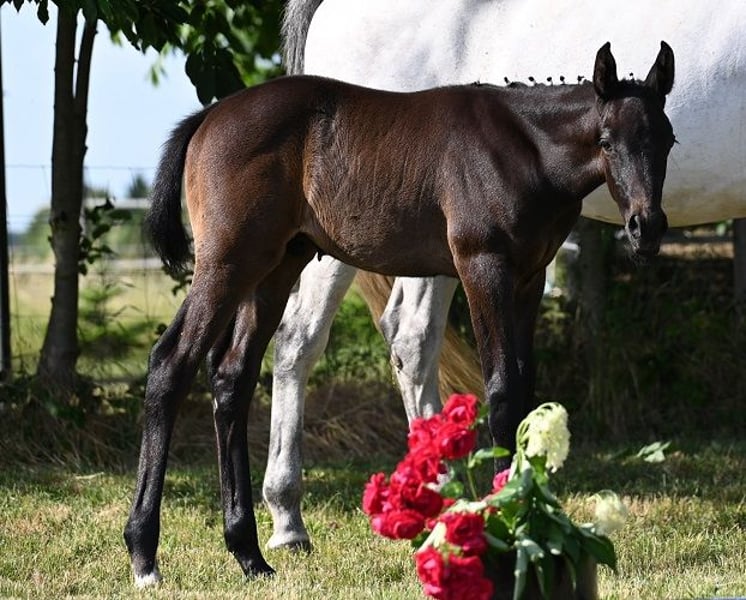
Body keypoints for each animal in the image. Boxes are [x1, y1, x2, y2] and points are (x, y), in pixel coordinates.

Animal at [124, 42, 675, 585]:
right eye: (606, 141)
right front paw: (506, 523)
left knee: (232, 378)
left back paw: (249, 555)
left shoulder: (529, 280)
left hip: (276, 266)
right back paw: (144, 555)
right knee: (171, 363)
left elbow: (524, 392)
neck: (524, 149)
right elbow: (500, 392)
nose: (645, 227)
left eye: (667, 140)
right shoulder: (482, 267)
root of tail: (209, 115)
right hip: (228, 262)